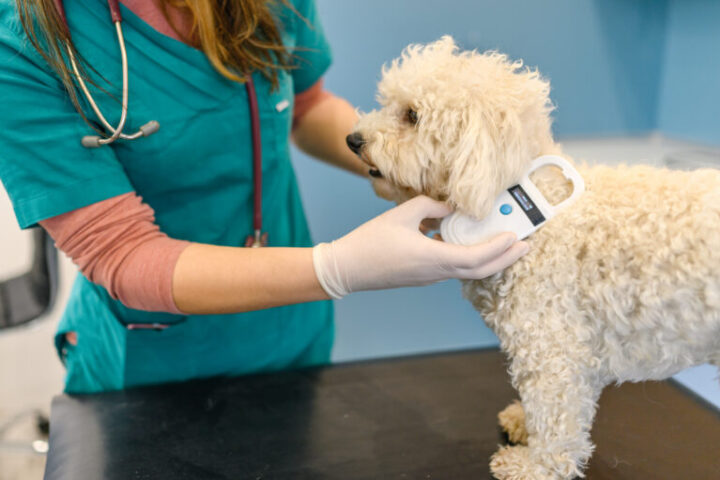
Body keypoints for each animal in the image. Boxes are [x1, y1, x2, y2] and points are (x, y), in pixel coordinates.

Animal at [348, 37, 720, 480]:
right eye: (386, 103)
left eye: (412, 115)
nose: (352, 139)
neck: (539, 199)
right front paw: (524, 423)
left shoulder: (551, 344)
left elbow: (556, 414)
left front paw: (535, 465)